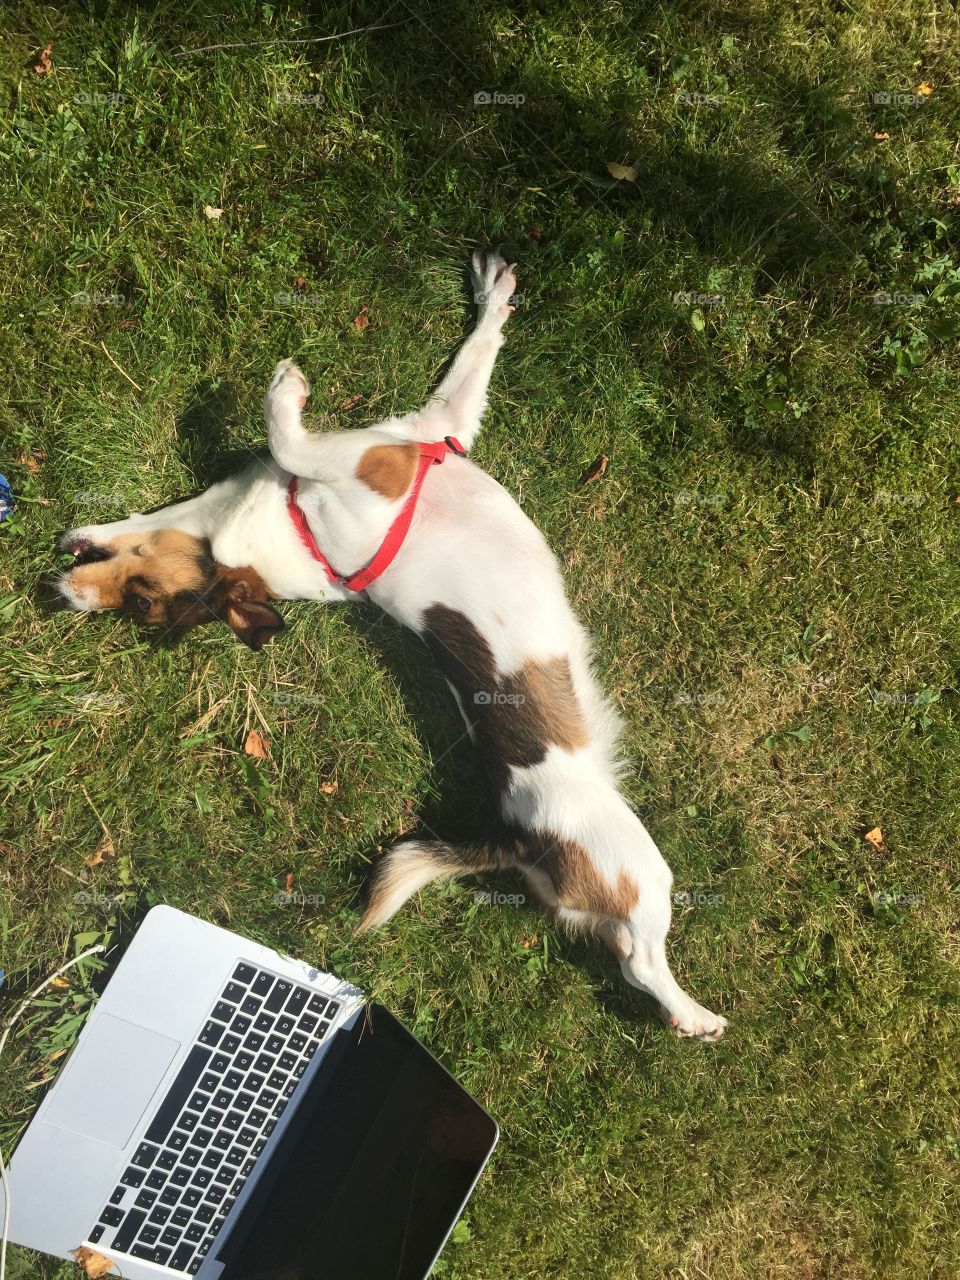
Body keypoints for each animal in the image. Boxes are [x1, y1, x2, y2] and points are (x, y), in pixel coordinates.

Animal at [56, 249, 727, 1039]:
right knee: (637, 960)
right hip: (634, 860)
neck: (292, 530)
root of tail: (513, 835)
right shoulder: (376, 456)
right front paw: (285, 392)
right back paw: (693, 1016)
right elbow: (290, 438)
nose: (61, 593)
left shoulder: (434, 426)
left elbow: (470, 356)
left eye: (139, 603)